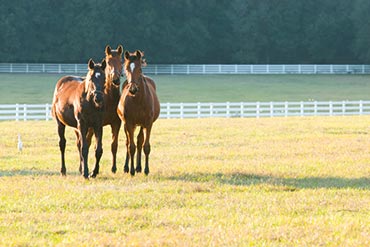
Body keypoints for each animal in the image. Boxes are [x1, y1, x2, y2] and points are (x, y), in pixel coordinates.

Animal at [86, 44, 123, 173]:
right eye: (108, 62)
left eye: (121, 61)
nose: (116, 79)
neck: (110, 98)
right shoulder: (98, 125)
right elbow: (97, 147)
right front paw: (94, 170)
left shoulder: (116, 124)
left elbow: (114, 146)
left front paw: (113, 168)